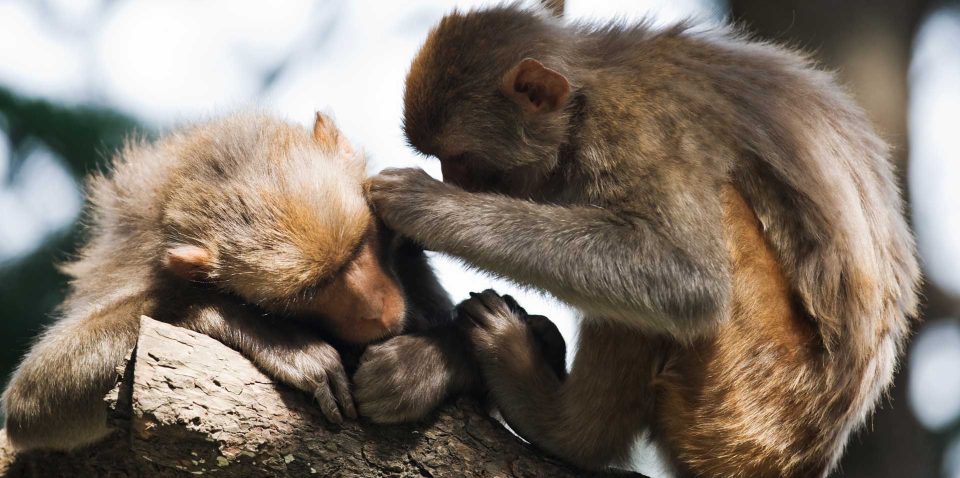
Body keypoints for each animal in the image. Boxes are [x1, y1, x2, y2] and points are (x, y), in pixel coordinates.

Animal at [1, 112, 467, 452]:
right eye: (310, 291)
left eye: (359, 246)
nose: (375, 309)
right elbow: (32, 400)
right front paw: (275, 339)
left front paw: (414, 371)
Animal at [358, 5, 921, 477]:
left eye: (459, 159)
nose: (451, 182)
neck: (584, 101)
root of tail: (808, 454)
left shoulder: (641, 130)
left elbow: (684, 279)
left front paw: (427, 208)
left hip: (750, 402)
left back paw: (565, 428)